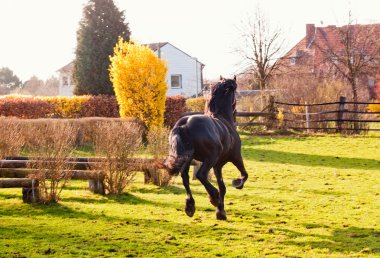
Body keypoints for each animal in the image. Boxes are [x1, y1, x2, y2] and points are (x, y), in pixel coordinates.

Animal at [163, 76, 249, 220]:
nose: (236, 111)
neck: (223, 118)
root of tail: (184, 124)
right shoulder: (236, 157)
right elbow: (244, 175)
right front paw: (236, 183)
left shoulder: (218, 166)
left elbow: (223, 186)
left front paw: (220, 212)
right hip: (210, 158)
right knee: (201, 175)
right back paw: (213, 196)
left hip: (188, 159)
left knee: (185, 178)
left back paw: (190, 206)